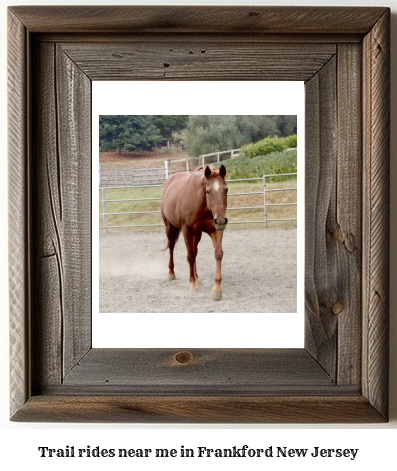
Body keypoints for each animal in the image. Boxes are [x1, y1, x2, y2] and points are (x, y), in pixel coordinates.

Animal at [160, 164, 227, 300]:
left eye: (226, 190)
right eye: (208, 191)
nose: (221, 220)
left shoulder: (215, 230)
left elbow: (218, 254)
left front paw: (217, 288)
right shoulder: (187, 230)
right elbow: (190, 256)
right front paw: (192, 285)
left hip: (197, 233)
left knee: (195, 251)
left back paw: (197, 277)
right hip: (169, 227)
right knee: (171, 246)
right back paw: (171, 273)